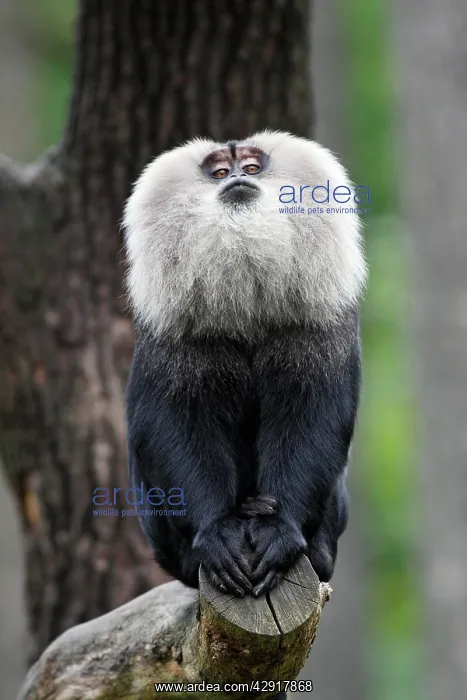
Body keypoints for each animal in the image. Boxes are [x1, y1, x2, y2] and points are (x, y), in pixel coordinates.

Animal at [123, 131, 367, 599]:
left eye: (251, 168)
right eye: (220, 172)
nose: (237, 178)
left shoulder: (320, 325)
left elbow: (314, 415)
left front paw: (279, 530)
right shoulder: (171, 333)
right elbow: (175, 423)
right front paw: (219, 533)